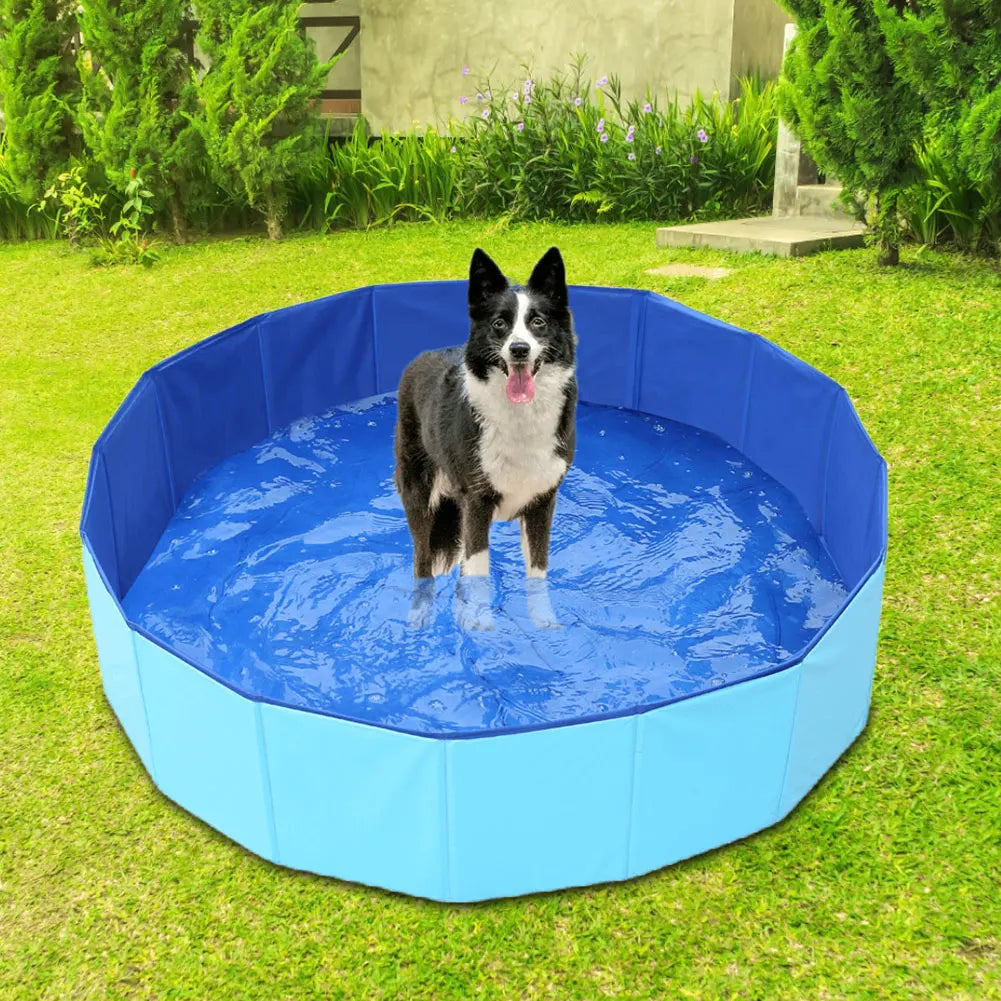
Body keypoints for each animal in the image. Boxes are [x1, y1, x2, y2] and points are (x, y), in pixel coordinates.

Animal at [392, 246, 576, 620]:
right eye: (499, 324)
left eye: (538, 322)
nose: (519, 350)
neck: (520, 415)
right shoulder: (476, 501)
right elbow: (479, 570)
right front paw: (478, 627)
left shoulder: (543, 501)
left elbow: (538, 571)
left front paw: (544, 624)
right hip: (418, 492)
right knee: (422, 559)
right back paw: (420, 615)